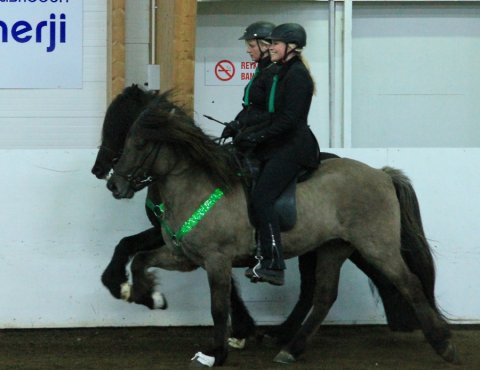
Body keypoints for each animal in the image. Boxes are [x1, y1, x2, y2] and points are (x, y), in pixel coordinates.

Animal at [106, 92, 462, 368]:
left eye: (140, 143)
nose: (114, 184)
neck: (198, 184)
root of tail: (382, 173)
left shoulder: (216, 260)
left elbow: (218, 307)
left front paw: (215, 354)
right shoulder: (187, 257)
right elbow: (141, 259)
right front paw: (147, 296)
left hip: (377, 246)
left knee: (409, 284)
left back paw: (445, 346)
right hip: (334, 247)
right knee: (324, 296)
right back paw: (291, 349)